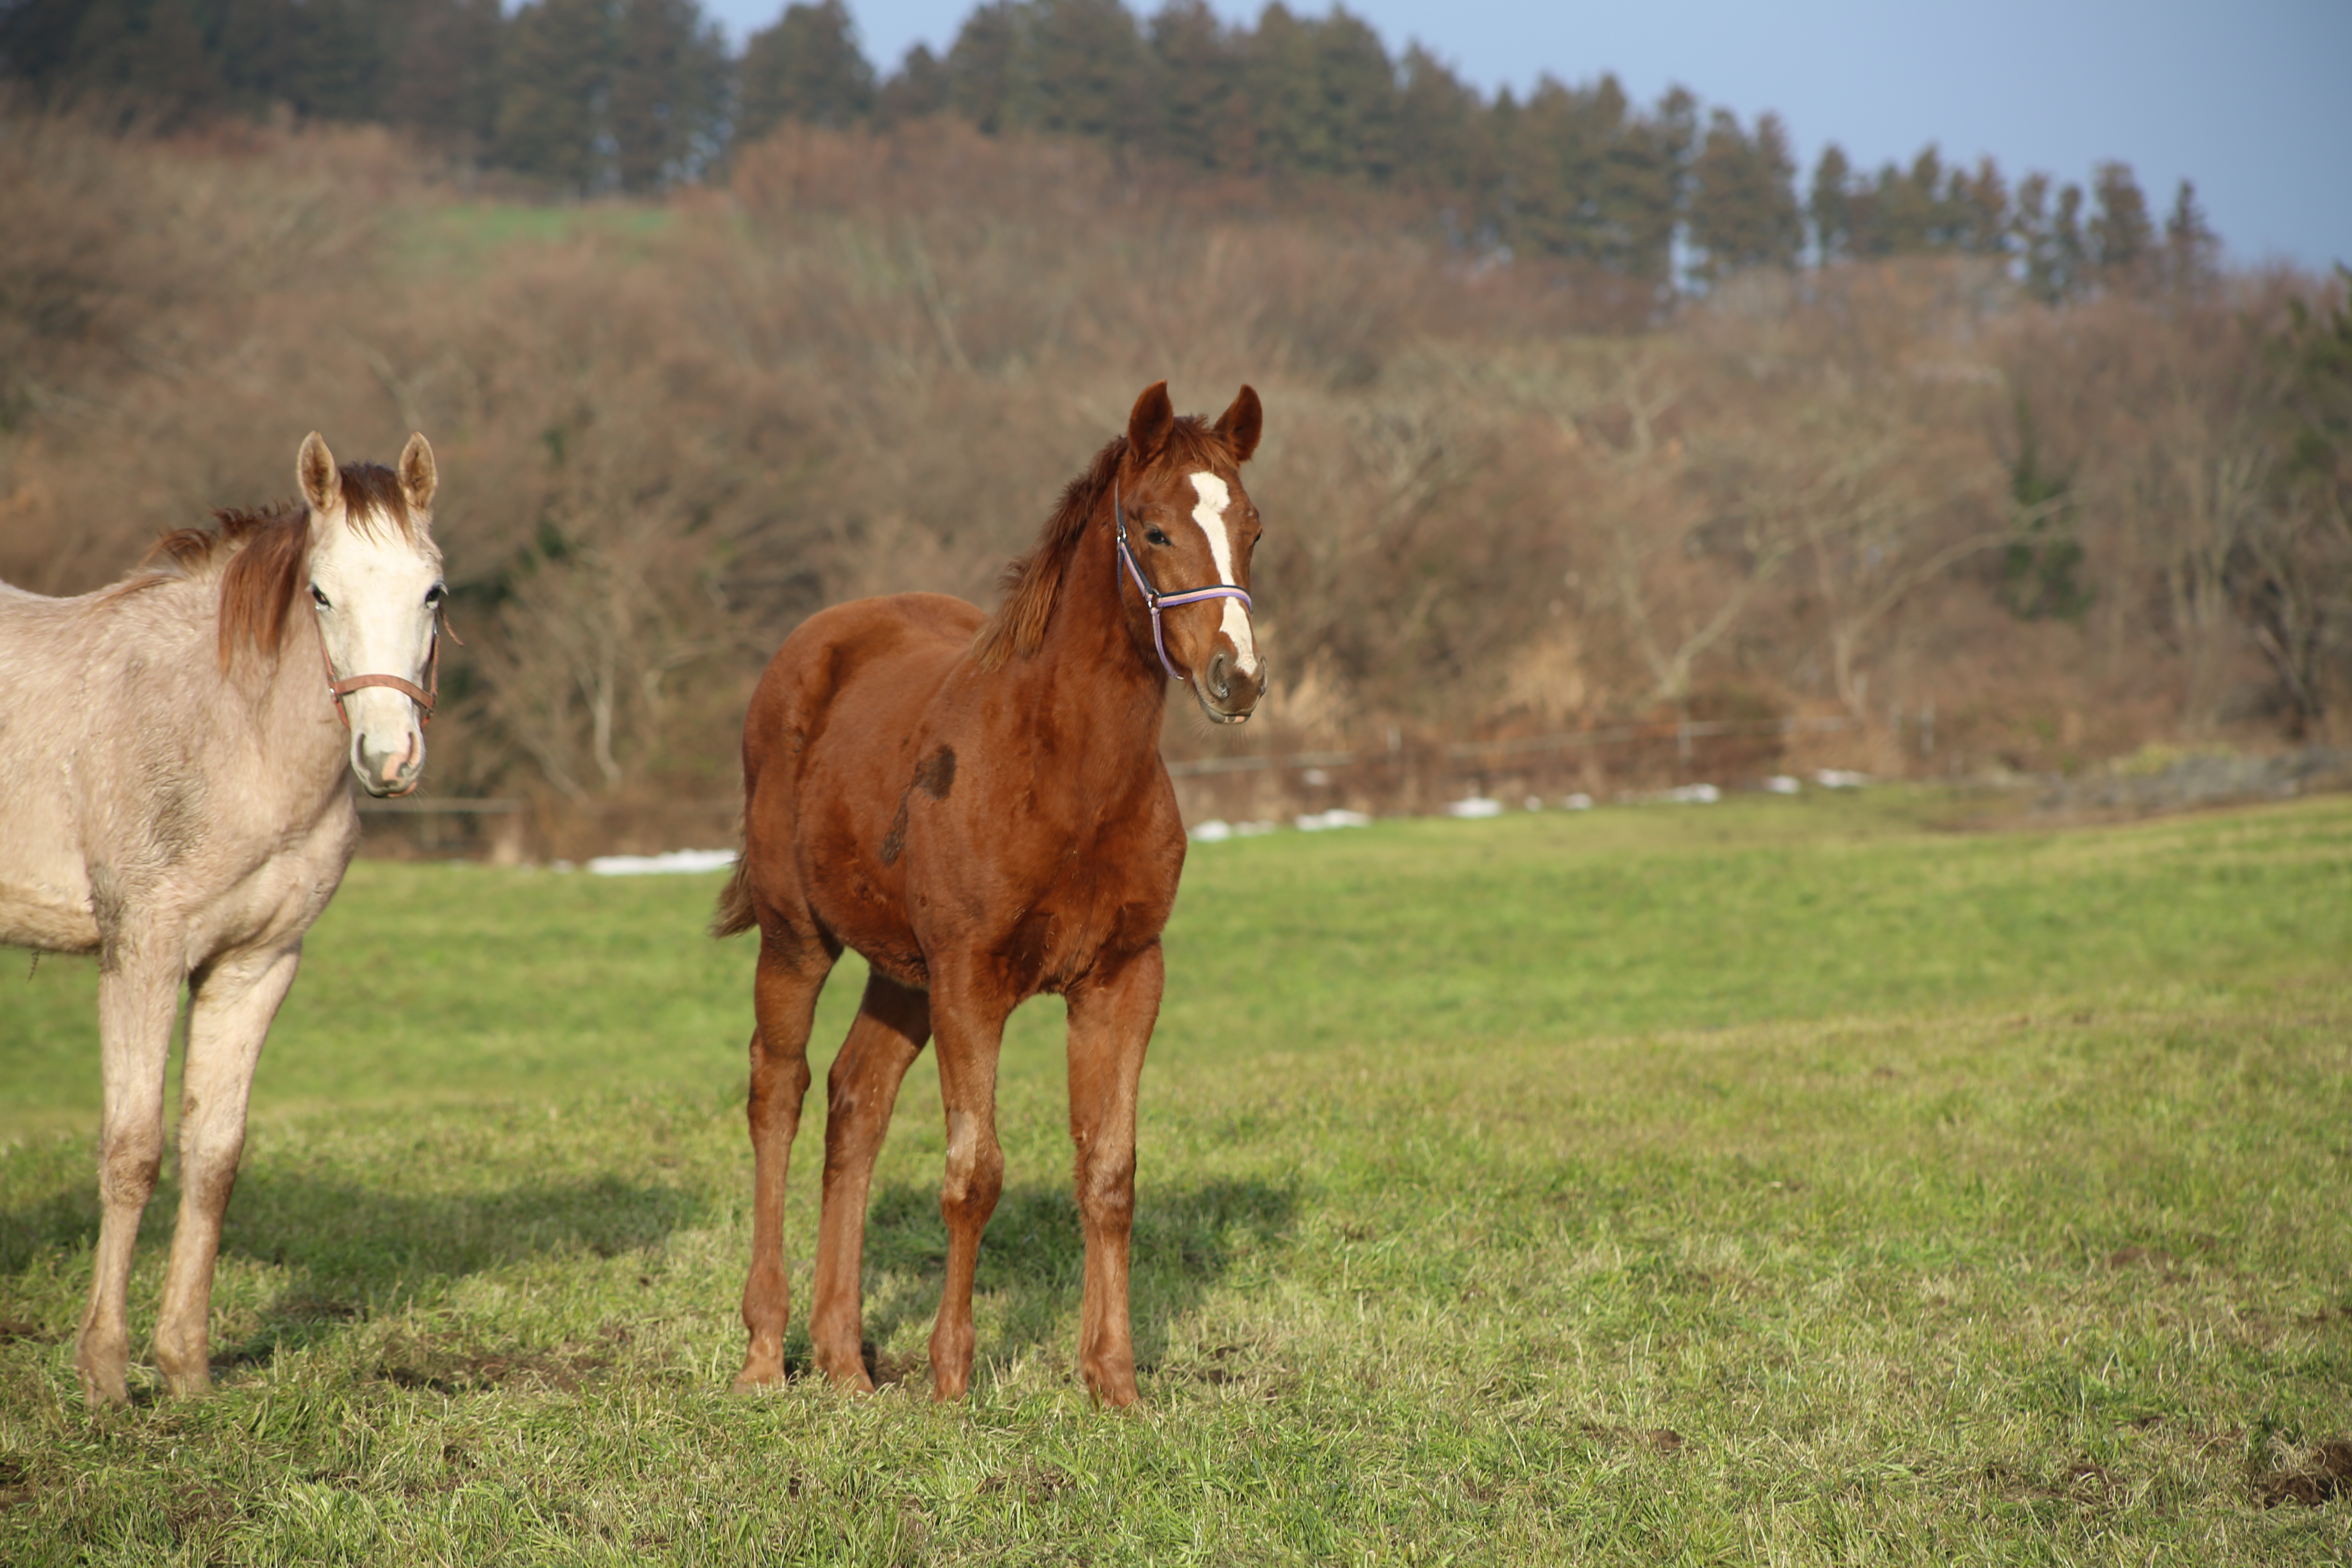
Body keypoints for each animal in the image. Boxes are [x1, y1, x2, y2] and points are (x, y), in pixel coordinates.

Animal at [0, 432, 447, 1410]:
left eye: (433, 590)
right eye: (322, 593)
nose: (389, 757)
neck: (227, 730)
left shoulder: (256, 966)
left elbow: (213, 1159)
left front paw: (186, 1367)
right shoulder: (143, 954)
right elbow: (133, 1153)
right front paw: (105, 1373)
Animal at [715, 383, 1270, 1410]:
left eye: (1252, 527)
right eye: (1154, 529)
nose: (1237, 676)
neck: (1065, 773)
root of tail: (815, 642)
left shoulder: (1123, 977)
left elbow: (1110, 1171)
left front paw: (1115, 1383)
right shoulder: (972, 979)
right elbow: (974, 1173)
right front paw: (951, 1382)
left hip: (902, 970)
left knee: (855, 1101)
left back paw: (846, 1361)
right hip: (798, 937)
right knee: (779, 1090)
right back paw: (767, 1349)